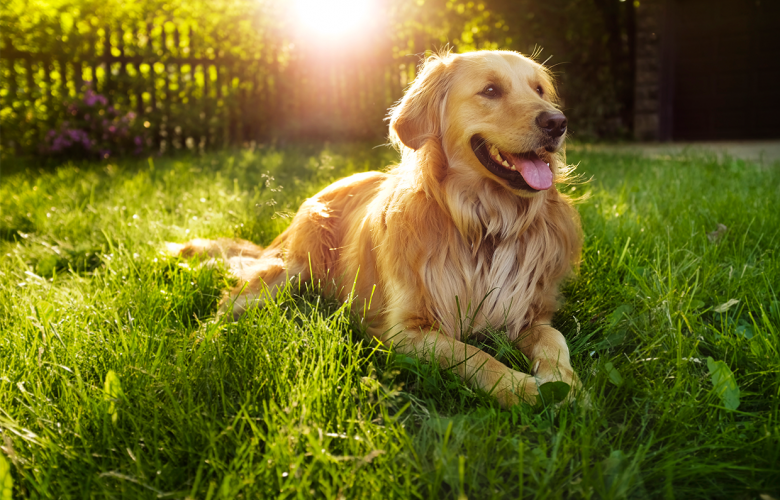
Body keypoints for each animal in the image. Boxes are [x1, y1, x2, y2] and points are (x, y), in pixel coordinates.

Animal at [172, 50, 584, 406]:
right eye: (491, 91)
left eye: (539, 90)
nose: (558, 122)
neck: (485, 225)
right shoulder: (405, 331)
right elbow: (472, 354)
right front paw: (522, 388)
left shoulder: (528, 312)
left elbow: (553, 338)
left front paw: (564, 383)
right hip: (289, 271)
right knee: (226, 305)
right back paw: (199, 347)